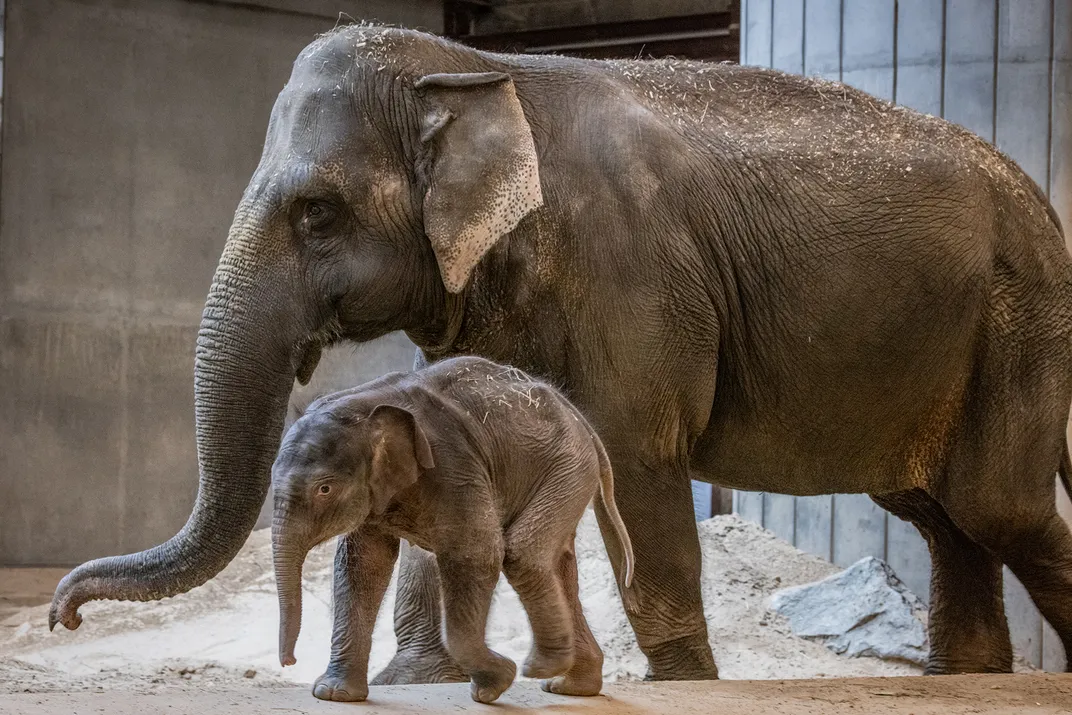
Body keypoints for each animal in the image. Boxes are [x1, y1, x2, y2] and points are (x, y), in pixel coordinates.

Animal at [270, 355, 634, 703]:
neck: (365, 402)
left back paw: (541, 668)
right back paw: (569, 685)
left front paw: (496, 683)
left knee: (523, 556)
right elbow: (362, 565)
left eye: (324, 489)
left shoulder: (454, 465)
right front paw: (334, 695)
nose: (289, 662)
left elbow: (476, 553)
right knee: (558, 567)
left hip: (568, 466)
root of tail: (579, 418)